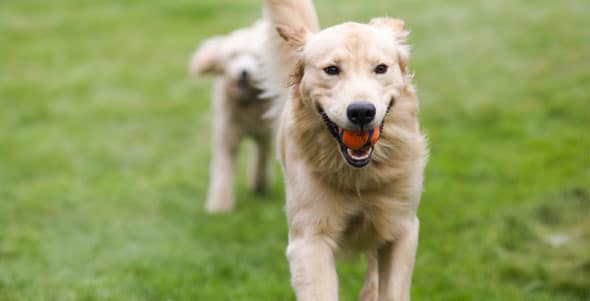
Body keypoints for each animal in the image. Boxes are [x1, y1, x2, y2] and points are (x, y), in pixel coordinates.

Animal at [190, 20, 276, 213]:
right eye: (233, 56)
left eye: (256, 58)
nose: (244, 72)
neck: (247, 103)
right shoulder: (226, 136)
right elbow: (223, 170)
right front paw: (219, 207)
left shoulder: (264, 135)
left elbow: (262, 160)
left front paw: (259, 186)